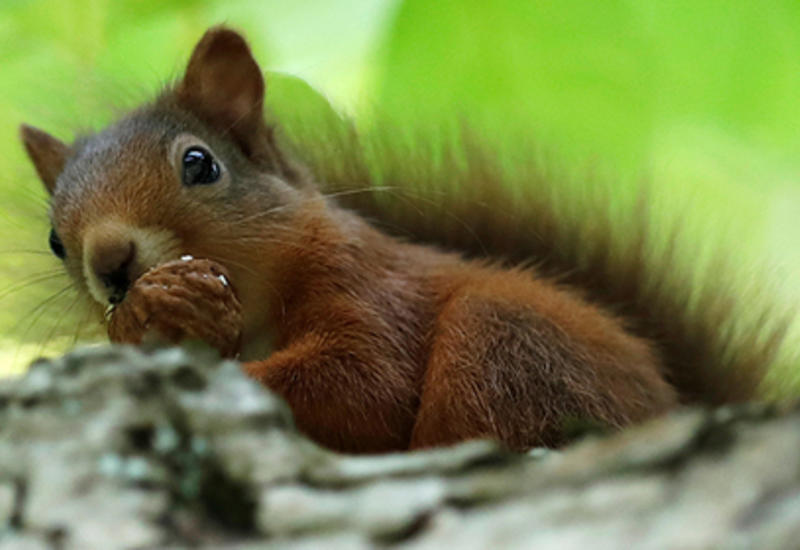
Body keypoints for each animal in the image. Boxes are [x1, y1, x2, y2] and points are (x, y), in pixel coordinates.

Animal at [15, 25, 792, 454]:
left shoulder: (369, 287)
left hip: (509, 342)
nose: (110, 263)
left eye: (199, 164)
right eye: (55, 238)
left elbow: (363, 385)